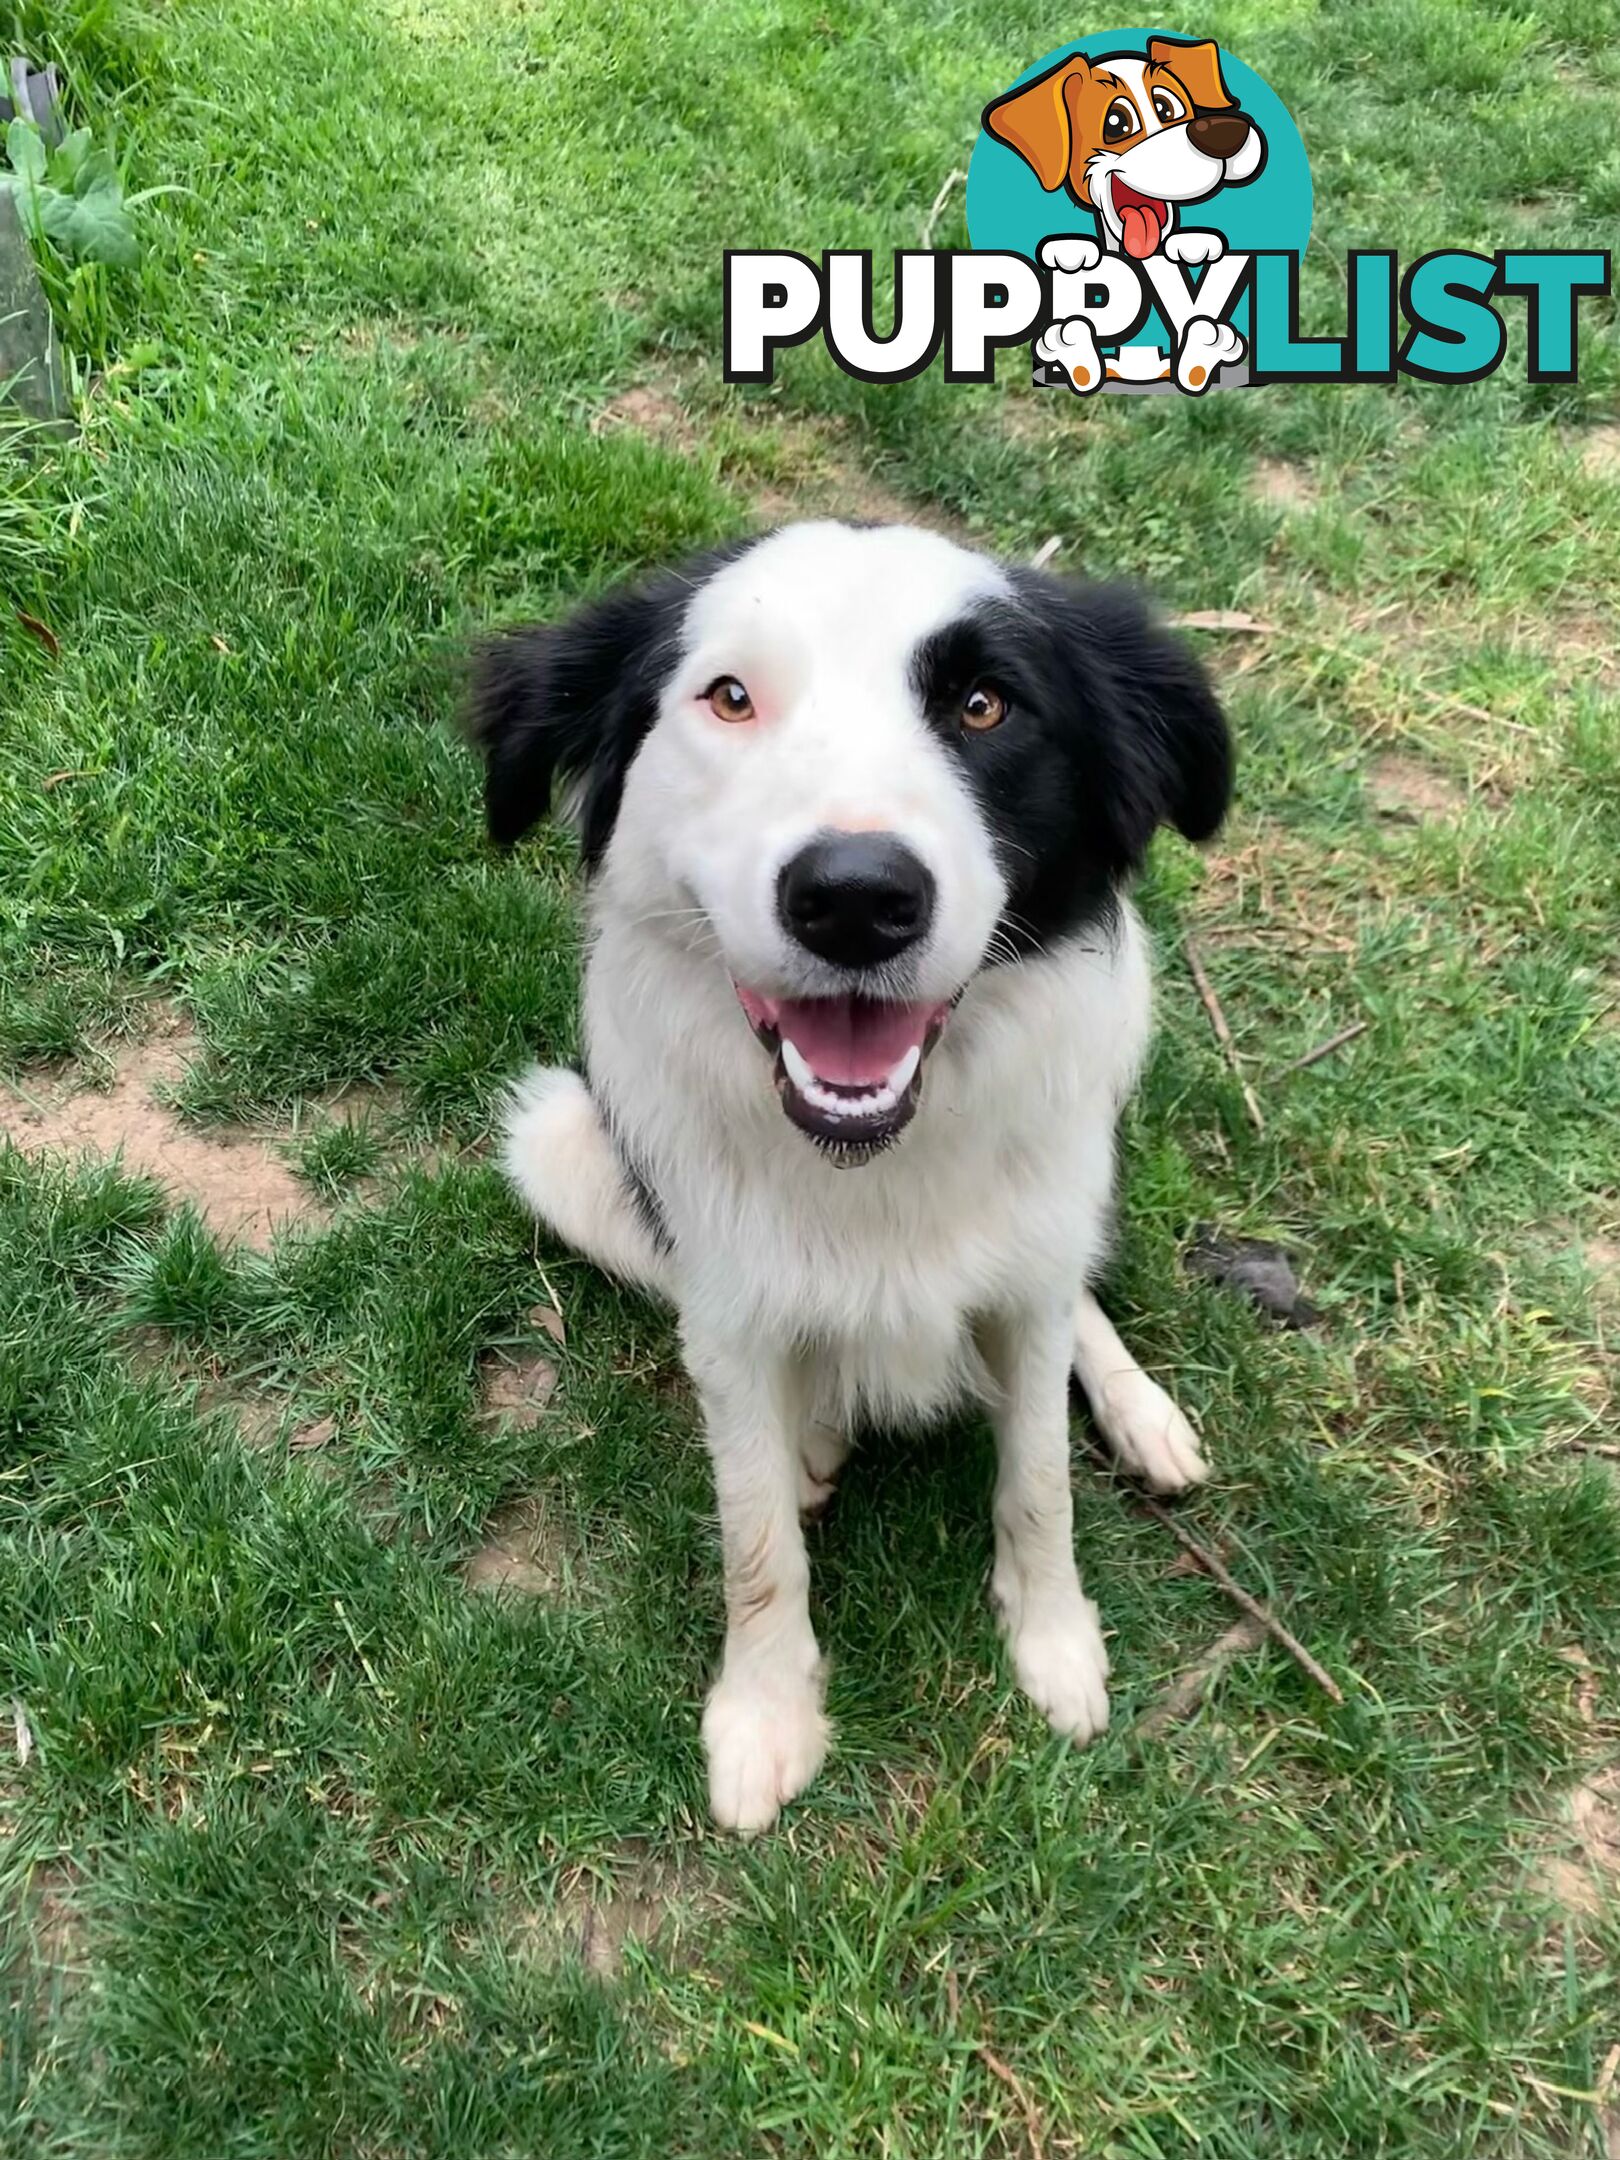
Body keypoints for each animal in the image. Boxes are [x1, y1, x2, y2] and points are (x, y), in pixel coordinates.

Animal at [466, 518, 1226, 1823]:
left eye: (983, 705)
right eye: (729, 697)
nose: (858, 900)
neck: (875, 1161)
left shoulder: (1026, 1285)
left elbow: (1039, 1473)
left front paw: (1055, 1646)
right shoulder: (724, 1311)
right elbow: (756, 1533)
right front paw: (765, 1717)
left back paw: (1142, 1414)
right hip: (559, 1143)